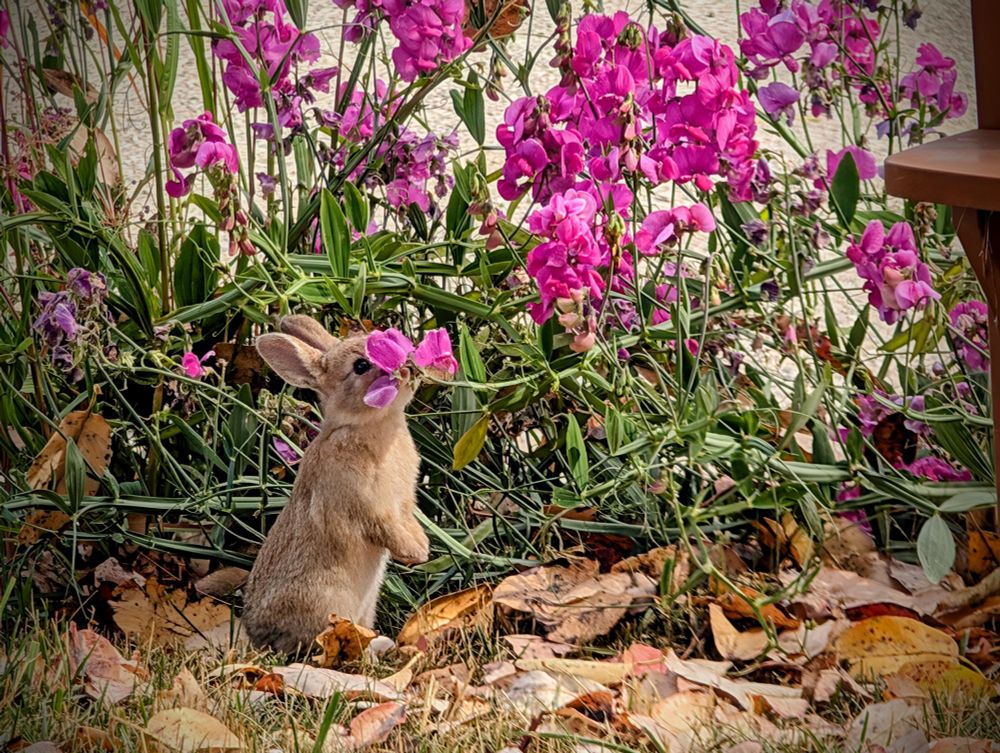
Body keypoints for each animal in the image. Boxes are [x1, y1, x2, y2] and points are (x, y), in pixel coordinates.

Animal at [242, 315, 430, 654]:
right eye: (360, 366)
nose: (409, 368)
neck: (367, 425)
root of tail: (262, 638)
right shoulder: (366, 505)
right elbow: (386, 528)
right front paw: (415, 554)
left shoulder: (403, 504)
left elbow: (408, 520)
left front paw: (423, 547)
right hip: (326, 601)